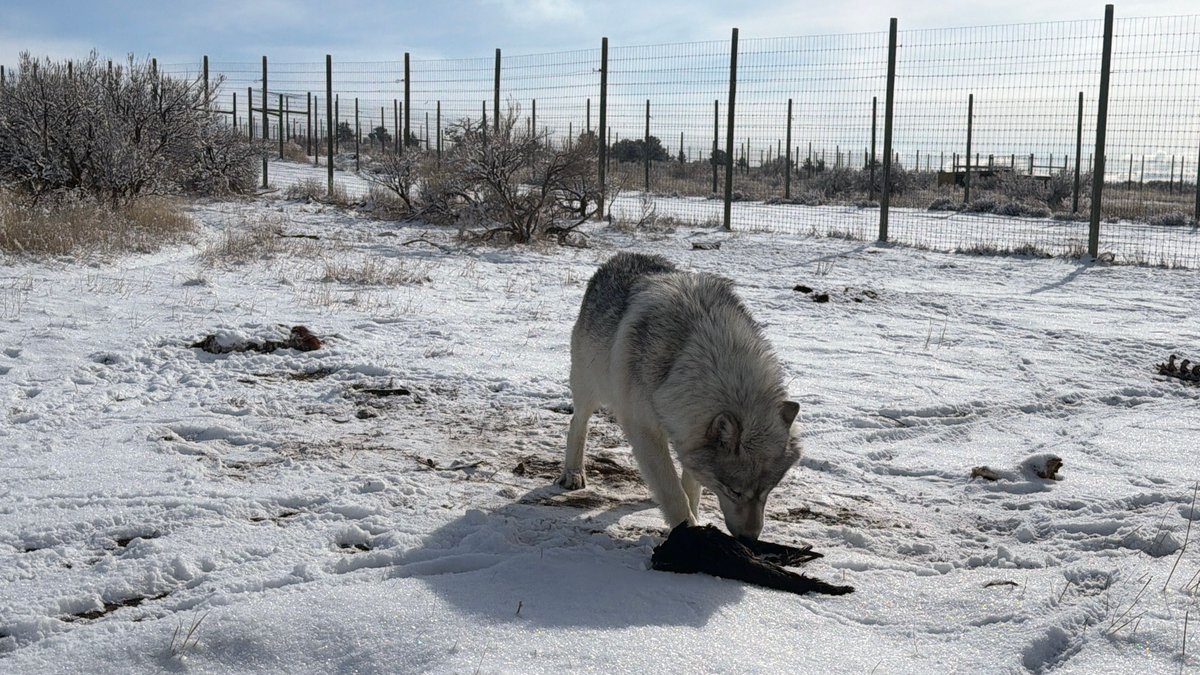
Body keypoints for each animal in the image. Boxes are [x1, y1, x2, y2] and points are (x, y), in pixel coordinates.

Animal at [560, 252, 801, 540]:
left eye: (767, 491)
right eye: (734, 491)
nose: (749, 538)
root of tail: (622, 256)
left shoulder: (688, 430)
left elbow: (690, 485)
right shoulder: (644, 429)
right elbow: (672, 491)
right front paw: (689, 529)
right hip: (590, 388)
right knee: (578, 423)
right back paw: (573, 473)